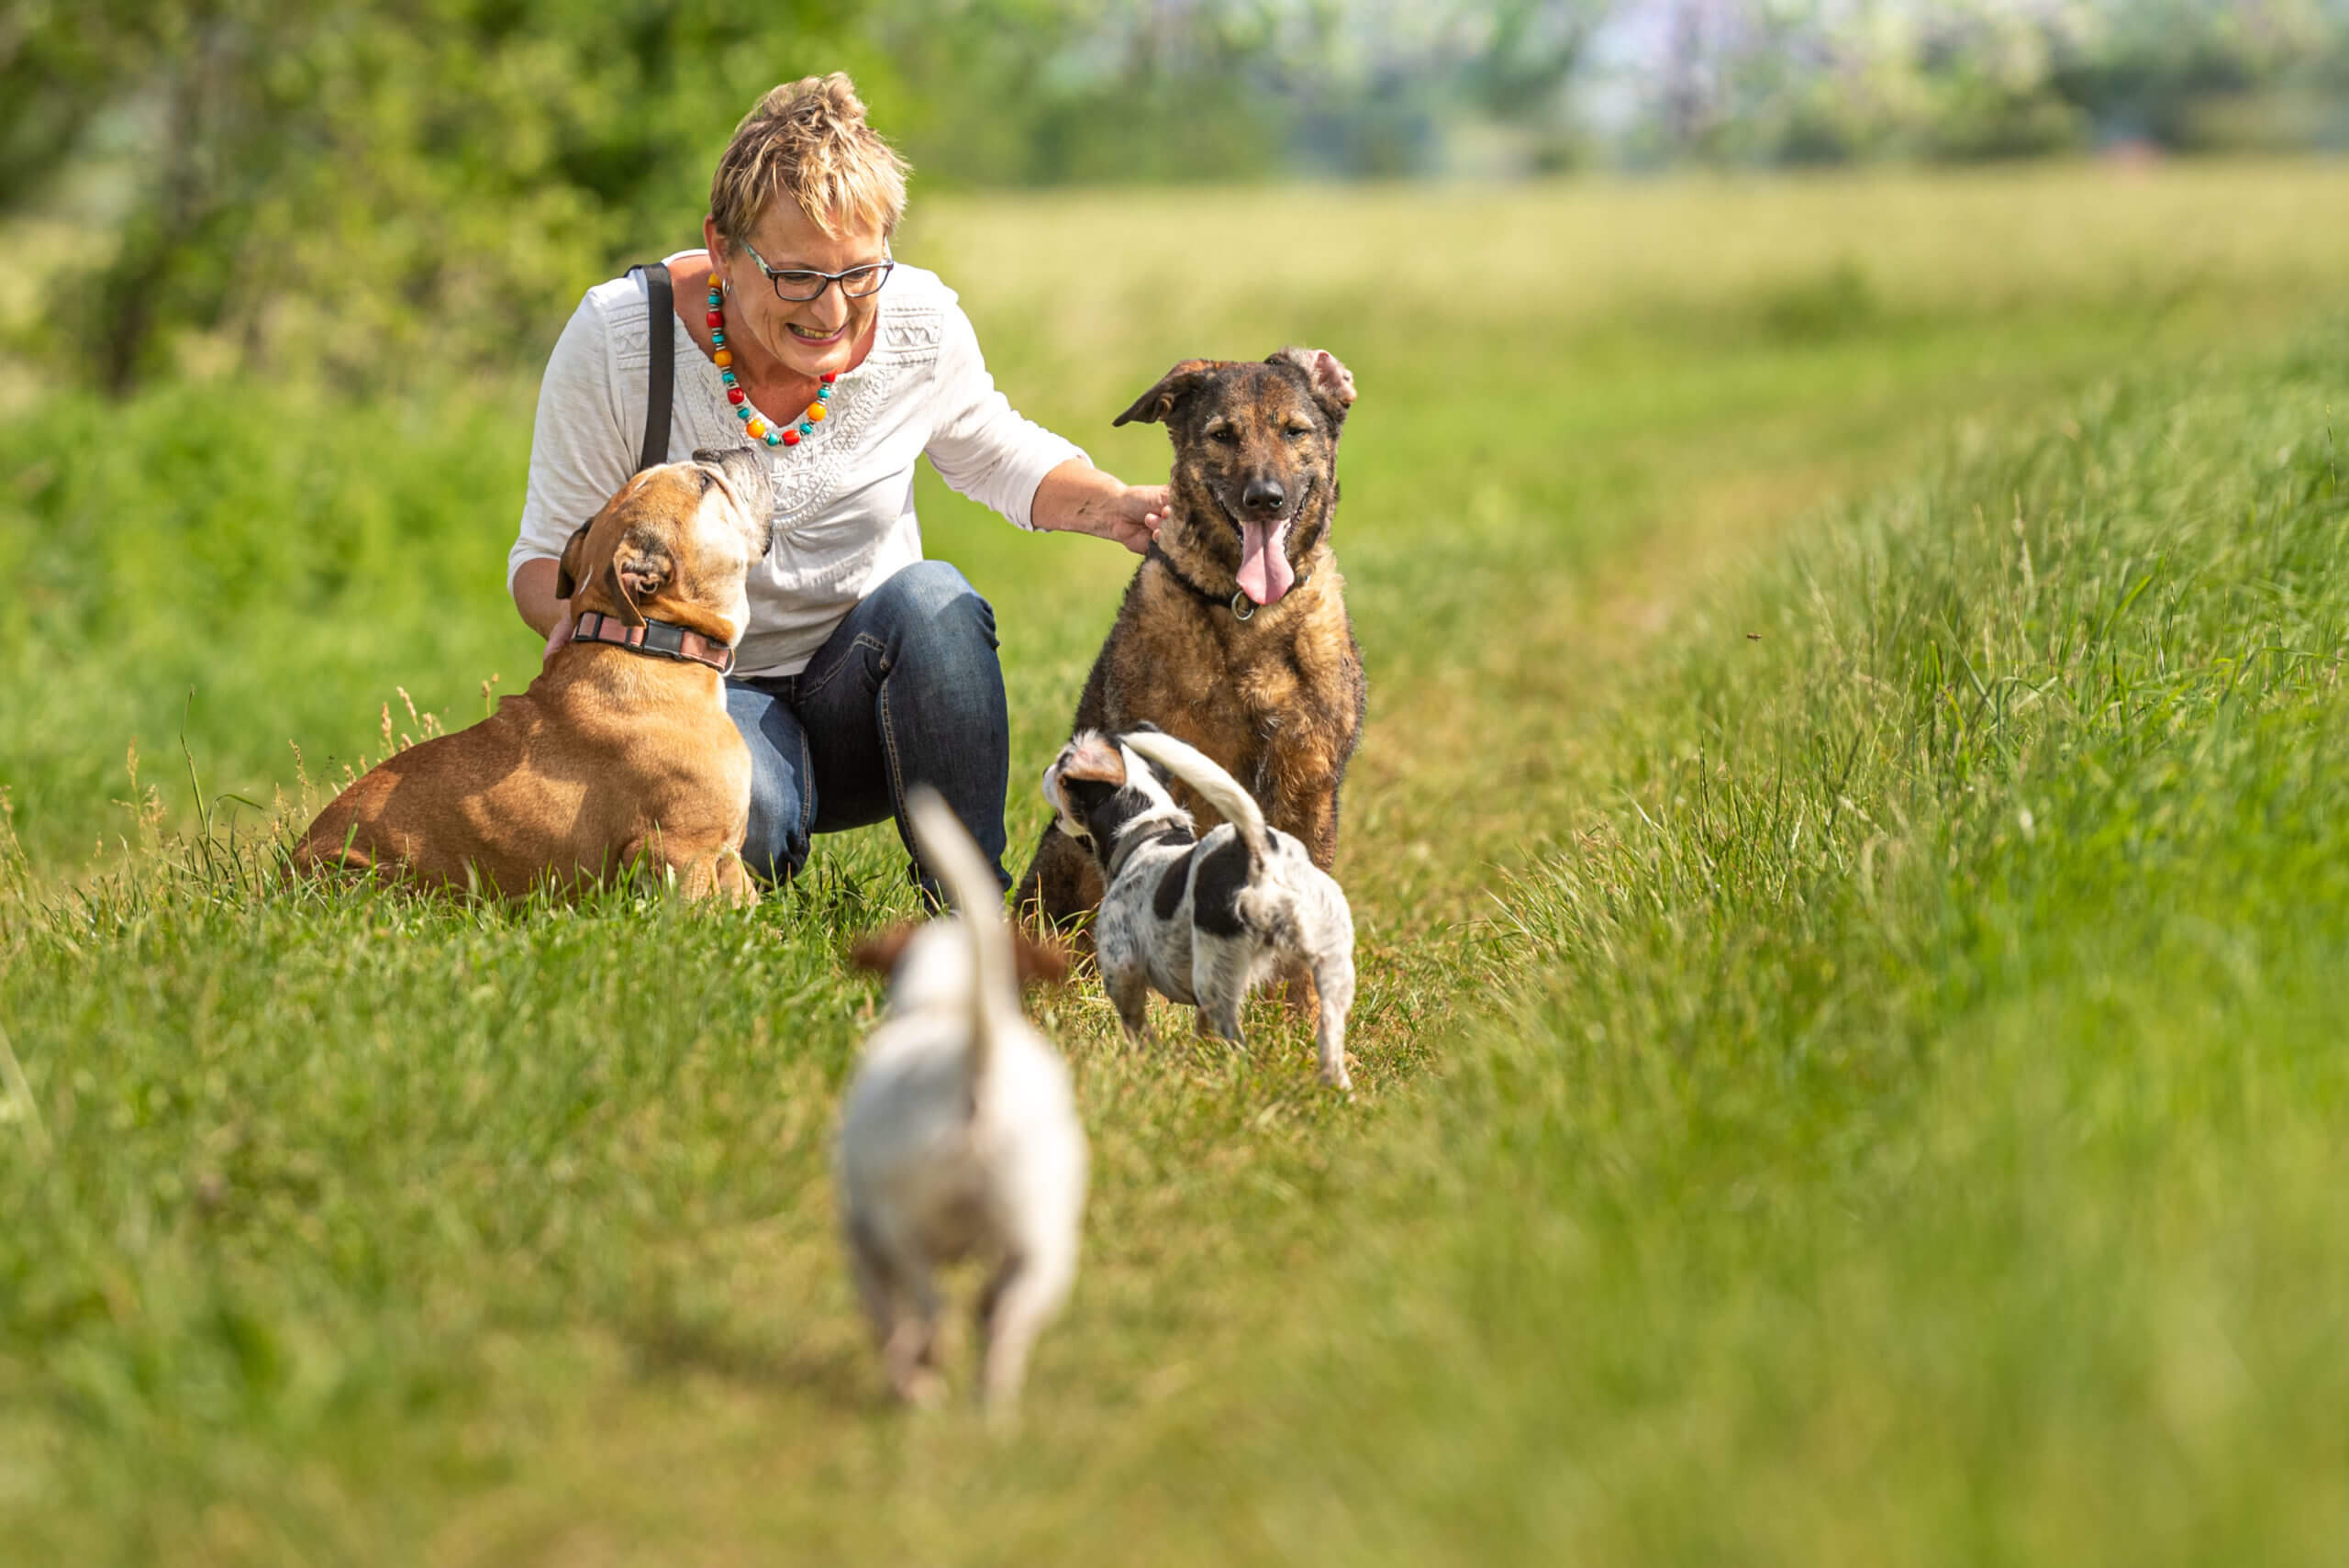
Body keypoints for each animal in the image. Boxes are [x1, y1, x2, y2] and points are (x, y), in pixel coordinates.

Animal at [292, 446, 770, 901]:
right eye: (706, 483)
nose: (714, 451)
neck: (652, 640)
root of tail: (288, 875)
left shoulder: (725, 858)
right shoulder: (682, 851)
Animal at [841, 788, 1085, 1418]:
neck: (946, 1002)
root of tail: (977, 1066)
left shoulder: (862, 1231)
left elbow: (882, 1312)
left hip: (905, 1228)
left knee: (930, 1310)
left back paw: (922, 1378)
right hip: (1041, 1239)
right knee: (1003, 1322)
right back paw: (988, 1407)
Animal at [1047, 728, 1362, 1084]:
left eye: (1062, 765)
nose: (1045, 772)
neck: (1147, 834)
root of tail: (1262, 854)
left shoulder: (1121, 968)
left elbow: (1136, 1026)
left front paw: (1148, 1059)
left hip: (1214, 976)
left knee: (1238, 1041)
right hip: (1332, 970)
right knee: (1329, 1042)